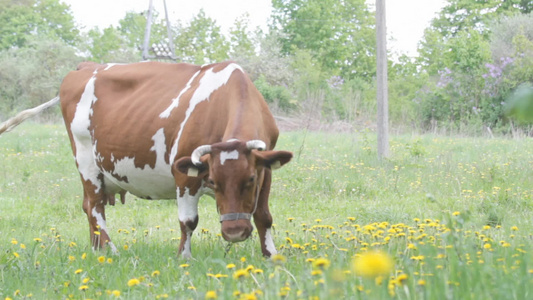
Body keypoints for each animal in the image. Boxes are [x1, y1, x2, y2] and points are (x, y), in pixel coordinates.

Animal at [0, 60, 290, 258]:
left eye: (249, 179)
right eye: (213, 182)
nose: (234, 233)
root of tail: (86, 66)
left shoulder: (266, 171)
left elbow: (264, 215)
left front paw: (271, 256)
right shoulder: (184, 173)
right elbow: (188, 221)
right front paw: (184, 257)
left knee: (87, 206)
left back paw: (96, 250)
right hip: (85, 160)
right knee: (94, 206)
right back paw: (111, 251)